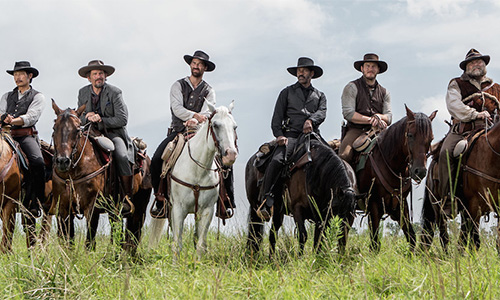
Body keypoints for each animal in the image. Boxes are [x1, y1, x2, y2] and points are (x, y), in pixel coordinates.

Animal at [51, 99, 153, 252]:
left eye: (77, 130)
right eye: (54, 128)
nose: (63, 161)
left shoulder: (92, 208)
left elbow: (89, 242)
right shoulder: (63, 208)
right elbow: (68, 242)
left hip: (140, 206)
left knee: (133, 236)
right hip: (115, 211)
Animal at [149, 102, 237, 258]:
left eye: (234, 127)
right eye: (215, 125)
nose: (230, 155)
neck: (197, 170)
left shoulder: (207, 210)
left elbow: (200, 244)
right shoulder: (178, 209)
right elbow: (177, 244)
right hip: (170, 209)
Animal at [356, 106, 438, 252]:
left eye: (431, 138)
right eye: (410, 135)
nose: (420, 171)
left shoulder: (401, 205)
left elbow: (411, 237)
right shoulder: (373, 205)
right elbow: (375, 243)